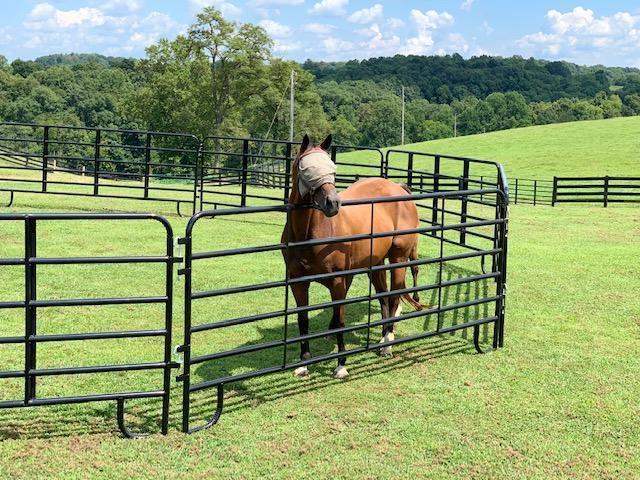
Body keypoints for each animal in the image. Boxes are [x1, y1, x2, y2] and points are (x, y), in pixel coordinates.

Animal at [282, 134, 422, 378]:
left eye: (332, 168)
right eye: (307, 169)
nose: (333, 203)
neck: (310, 233)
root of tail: (398, 187)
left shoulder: (338, 281)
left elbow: (340, 321)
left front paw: (341, 365)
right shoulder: (298, 282)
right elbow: (303, 321)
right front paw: (303, 364)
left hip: (398, 259)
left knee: (394, 297)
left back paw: (387, 343)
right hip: (375, 264)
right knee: (383, 297)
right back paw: (383, 336)